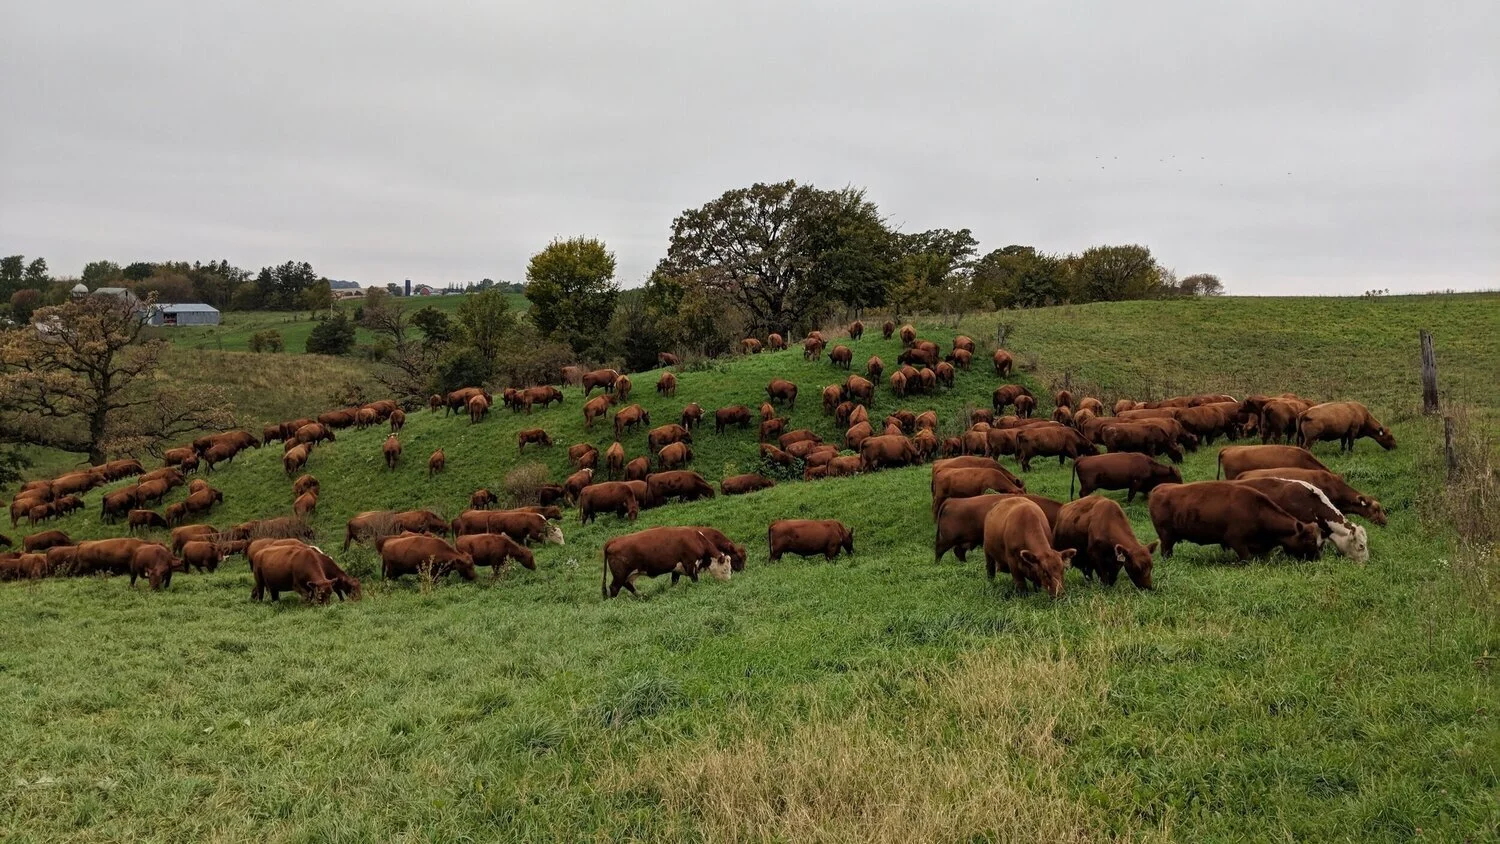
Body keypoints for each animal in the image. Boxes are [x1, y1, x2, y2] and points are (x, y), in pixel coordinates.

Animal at [1148, 482, 1323, 562]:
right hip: (1167, 538)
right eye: (1310, 541)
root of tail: (1159, 488)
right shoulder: (1236, 541)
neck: (1257, 509)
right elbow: (1247, 558)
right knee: (1166, 551)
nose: (1317, 558)